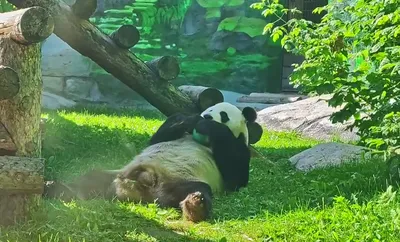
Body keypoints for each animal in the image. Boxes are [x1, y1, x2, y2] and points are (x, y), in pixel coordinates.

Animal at [43, 101, 262, 222]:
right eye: (209, 108)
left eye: (223, 115)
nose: (207, 116)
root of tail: (140, 186)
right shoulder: (172, 132)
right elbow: (159, 136)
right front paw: (191, 119)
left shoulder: (240, 149)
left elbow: (236, 176)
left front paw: (209, 126)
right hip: (116, 174)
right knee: (91, 178)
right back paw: (55, 187)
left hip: (181, 182)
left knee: (199, 190)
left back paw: (195, 206)